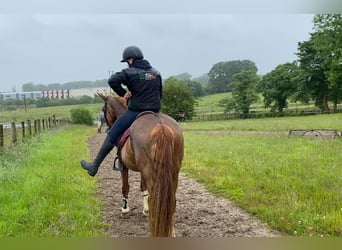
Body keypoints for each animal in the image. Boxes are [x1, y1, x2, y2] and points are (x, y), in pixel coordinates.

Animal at [96, 93, 184, 237]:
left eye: (104, 109)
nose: (108, 127)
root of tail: (161, 126)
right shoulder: (143, 171)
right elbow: (143, 187)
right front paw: (145, 210)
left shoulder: (123, 166)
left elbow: (125, 187)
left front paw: (125, 210)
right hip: (172, 172)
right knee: (170, 201)